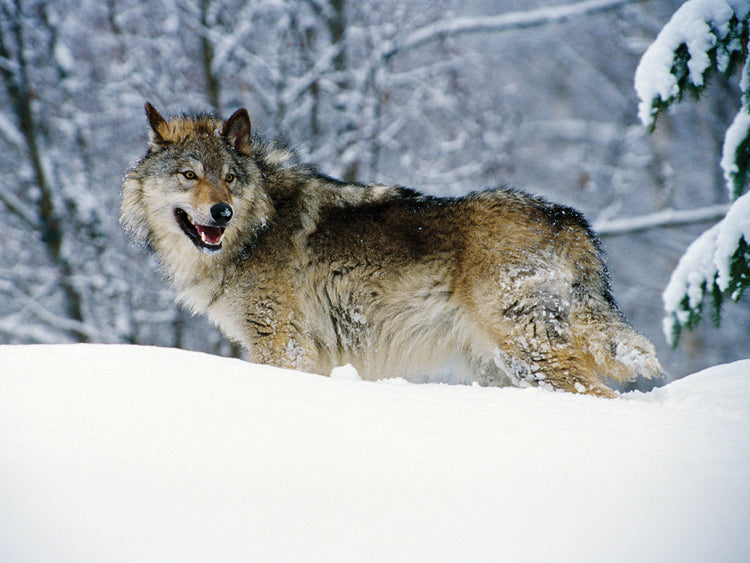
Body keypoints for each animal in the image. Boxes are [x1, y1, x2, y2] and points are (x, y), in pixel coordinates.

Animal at [121, 103, 663, 396]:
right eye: (189, 175)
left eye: (230, 178)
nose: (222, 213)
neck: (255, 228)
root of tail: (564, 217)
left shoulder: (282, 344)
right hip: (499, 367)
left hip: (528, 354)